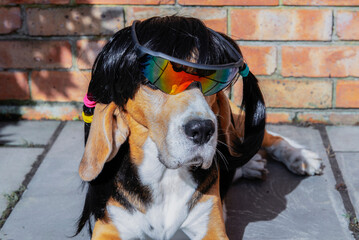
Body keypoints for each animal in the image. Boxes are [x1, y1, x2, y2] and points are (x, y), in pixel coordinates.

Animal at [75, 15, 324, 239]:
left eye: (209, 80)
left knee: (271, 138)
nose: (203, 130)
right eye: (155, 83)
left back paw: (301, 158)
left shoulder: (211, 228)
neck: (165, 178)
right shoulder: (108, 226)